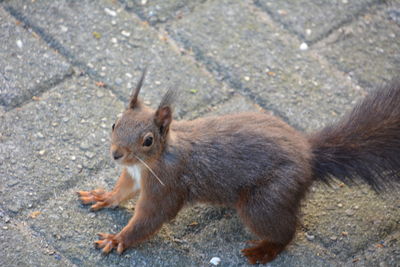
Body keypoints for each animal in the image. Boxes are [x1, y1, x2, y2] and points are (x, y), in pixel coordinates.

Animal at [77, 70, 400, 266]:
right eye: (114, 123)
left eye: (147, 140)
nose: (116, 154)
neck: (150, 162)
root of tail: (309, 156)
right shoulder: (134, 177)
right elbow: (122, 191)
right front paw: (103, 196)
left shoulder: (166, 185)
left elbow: (151, 218)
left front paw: (118, 239)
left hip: (262, 203)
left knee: (287, 230)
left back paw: (264, 249)